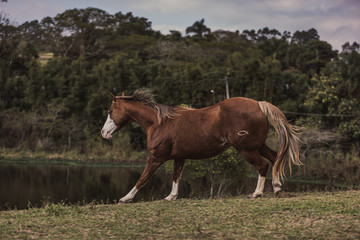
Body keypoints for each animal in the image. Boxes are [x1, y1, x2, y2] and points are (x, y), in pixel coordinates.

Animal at [101, 90, 300, 202]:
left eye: (111, 111)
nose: (103, 133)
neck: (158, 123)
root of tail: (259, 104)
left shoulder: (156, 158)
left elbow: (142, 178)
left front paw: (125, 198)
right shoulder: (179, 157)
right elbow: (176, 176)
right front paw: (171, 197)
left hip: (247, 149)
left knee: (263, 165)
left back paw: (257, 193)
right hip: (258, 146)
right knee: (274, 158)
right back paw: (277, 188)